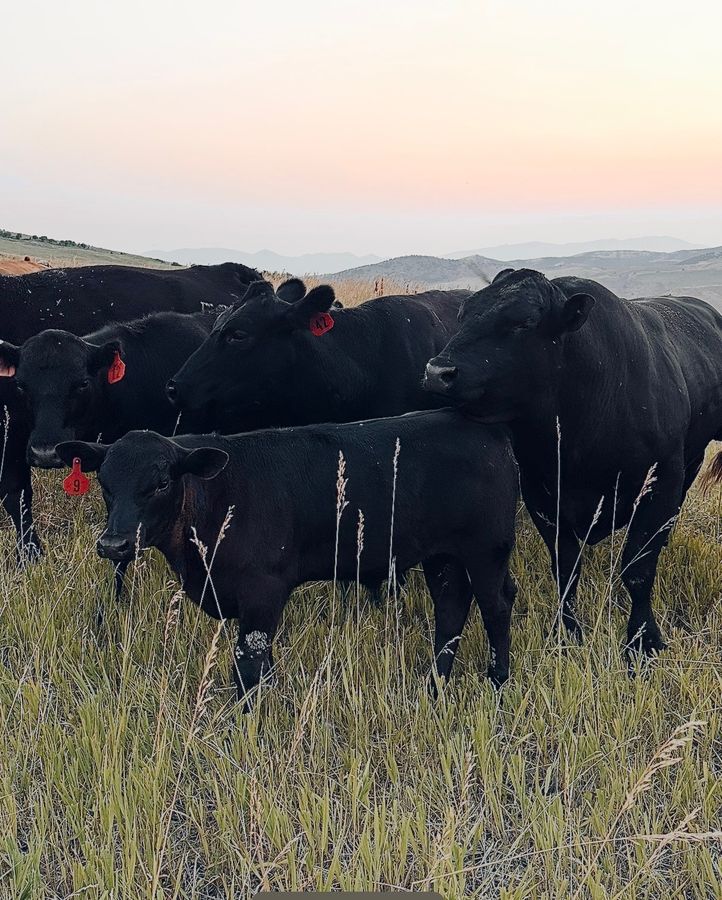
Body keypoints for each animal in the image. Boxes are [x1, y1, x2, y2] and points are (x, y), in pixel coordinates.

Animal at [54, 409, 519, 708]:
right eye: (104, 482)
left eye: (162, 482)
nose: (113, 544)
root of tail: (488, 431)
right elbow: (262, 664)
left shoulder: (263, 591)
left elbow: (247, 663)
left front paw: (245, 718)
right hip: (443, 555)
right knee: (451, 607)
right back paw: (435, 685)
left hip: (487, 549)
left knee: (496, 605)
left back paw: (497, 680)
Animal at [424, 268, 722, 659]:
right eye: (464, 313)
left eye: (524, 322)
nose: (437, 371)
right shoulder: (543, 495)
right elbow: (566, 569)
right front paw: (566, 633)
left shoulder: (660, 483)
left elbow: (638, 570)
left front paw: (643, 641)